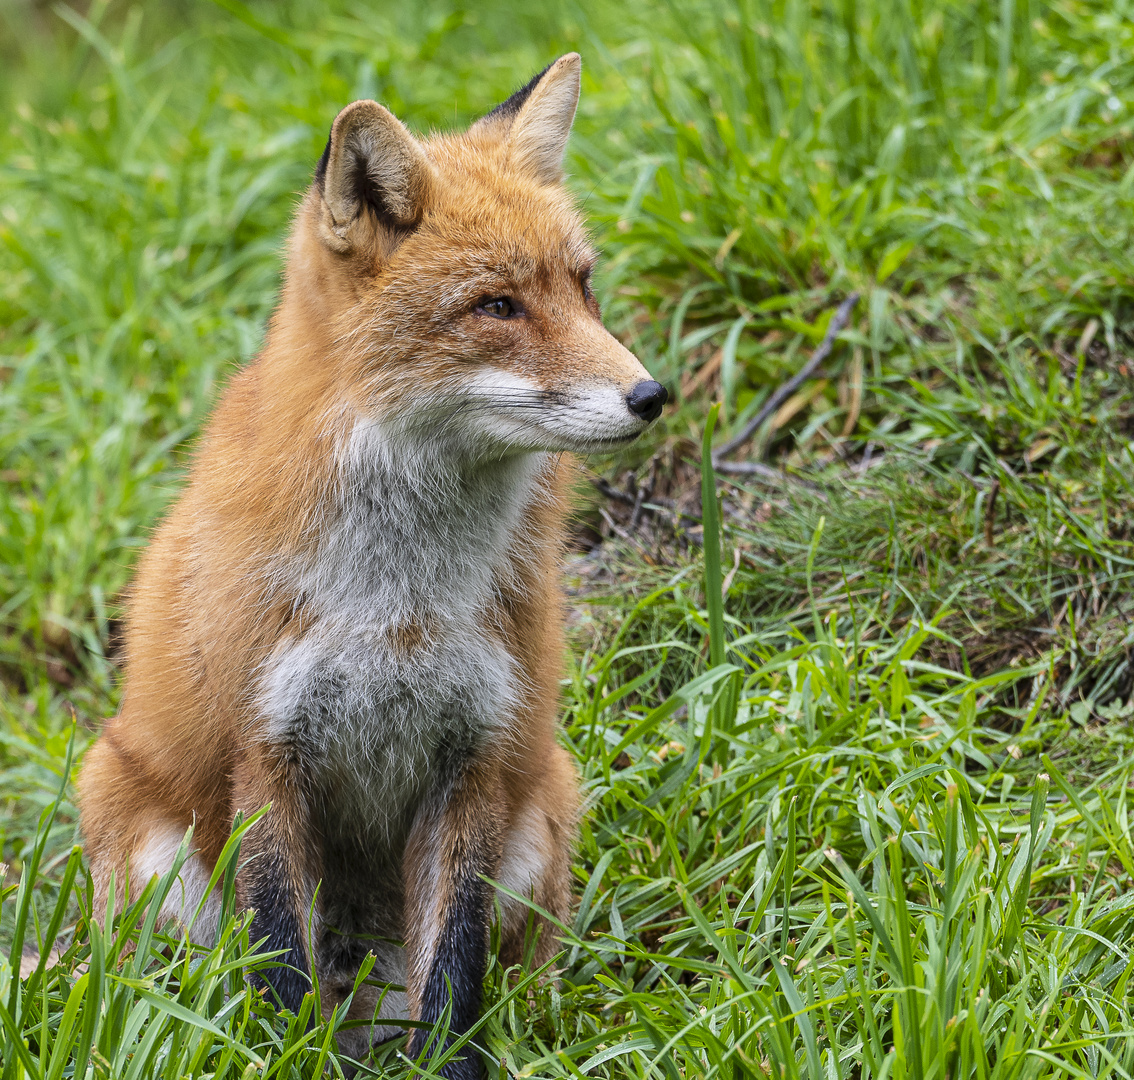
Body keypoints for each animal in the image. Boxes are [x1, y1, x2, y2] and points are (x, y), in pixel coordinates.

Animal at [77, 52, 662, 1080]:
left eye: (584, 288)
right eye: (497, 305)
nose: (650, 394)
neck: (402, 602)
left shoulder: (472, 756)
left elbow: (453, 978)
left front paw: (454, 1068)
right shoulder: (264, 756)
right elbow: (280, 961)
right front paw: (288, 1061)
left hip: (541, 812)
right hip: (140, 837)